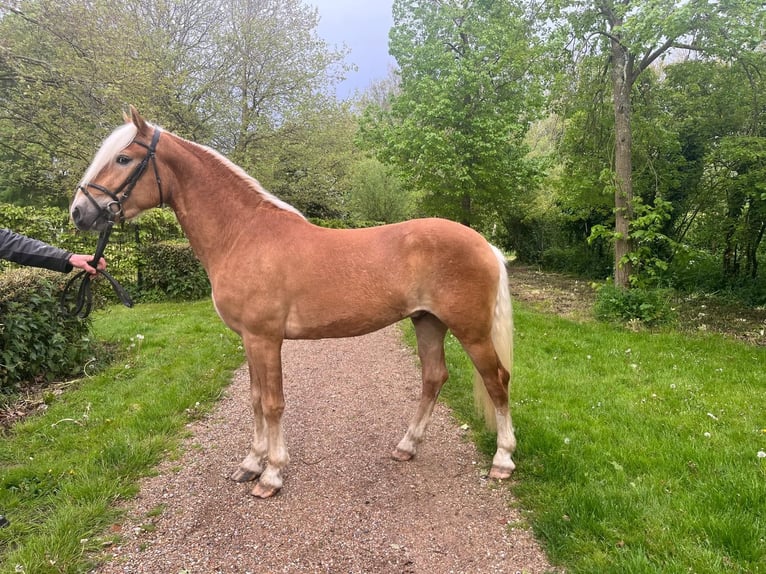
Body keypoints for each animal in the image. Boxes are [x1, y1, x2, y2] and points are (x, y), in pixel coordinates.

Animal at [72, 107, 520, 500]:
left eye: (123, 157)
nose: (79, 213)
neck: (243, 234)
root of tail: (485, 244)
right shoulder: (249, 340)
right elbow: (254, 399)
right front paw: (250, 464)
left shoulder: (265, 338)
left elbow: (272, 403)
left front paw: (271, 475)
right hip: (427, 321)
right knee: (434, 377)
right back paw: (407, 446)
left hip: (471, 331)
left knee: (497, 381)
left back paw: (502, 461)